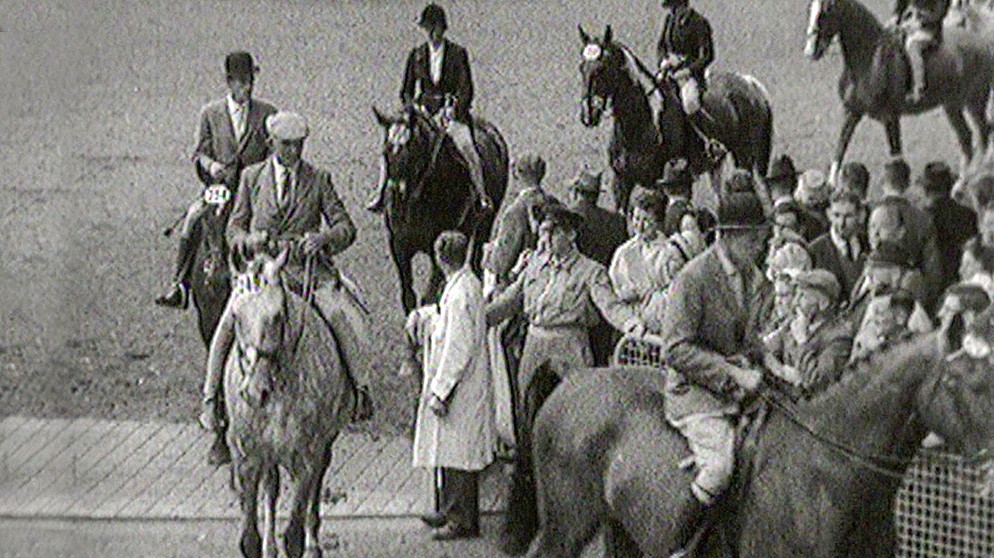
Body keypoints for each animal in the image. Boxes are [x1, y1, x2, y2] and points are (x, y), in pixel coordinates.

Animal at [374, 106, 508, 316]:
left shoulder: (438, 247)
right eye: (386, 150)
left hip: (485, 225)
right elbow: (409, 296)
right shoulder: (399, 246)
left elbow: (428, 297)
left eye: (410, 149)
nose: (395, 194)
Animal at [572, 24, 776, 213]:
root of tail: (752, 84)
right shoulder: (621, 182)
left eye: (602, 68)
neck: (642, 124)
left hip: (747, 159)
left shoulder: (659, 184)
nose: (588, 113)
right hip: (718, 164)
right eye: (581, 67)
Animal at [804, 0, 992, 186]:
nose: (811, 51)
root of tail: (983, 43)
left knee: (983, 133)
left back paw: (976, 177)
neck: (870, 60)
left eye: (828, 10)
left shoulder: (891, 117)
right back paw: (962, 181)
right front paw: (832, 183)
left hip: (974, 103)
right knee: (966, 137)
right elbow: (841, 147)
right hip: (952, 106)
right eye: (810, 9)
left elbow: (896, 154)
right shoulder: (852, 112)